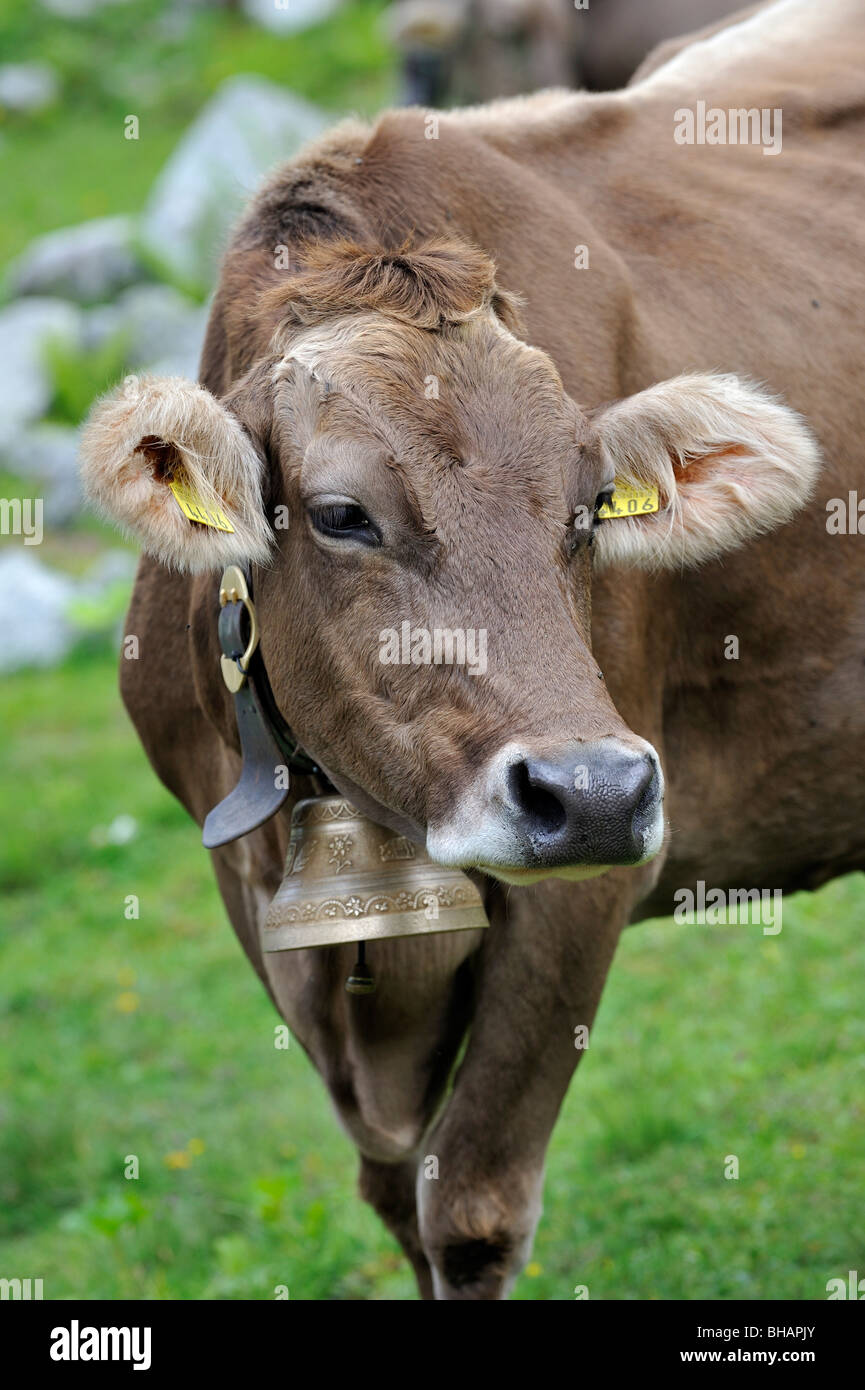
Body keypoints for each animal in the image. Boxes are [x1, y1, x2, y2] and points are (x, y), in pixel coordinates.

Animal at [80, 0, 865, 1299]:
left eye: (589, 510)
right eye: (341, 513)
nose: (591, 790)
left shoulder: (587, 886)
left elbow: (469, 1207)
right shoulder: (251, 894)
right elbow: (394, 1197)